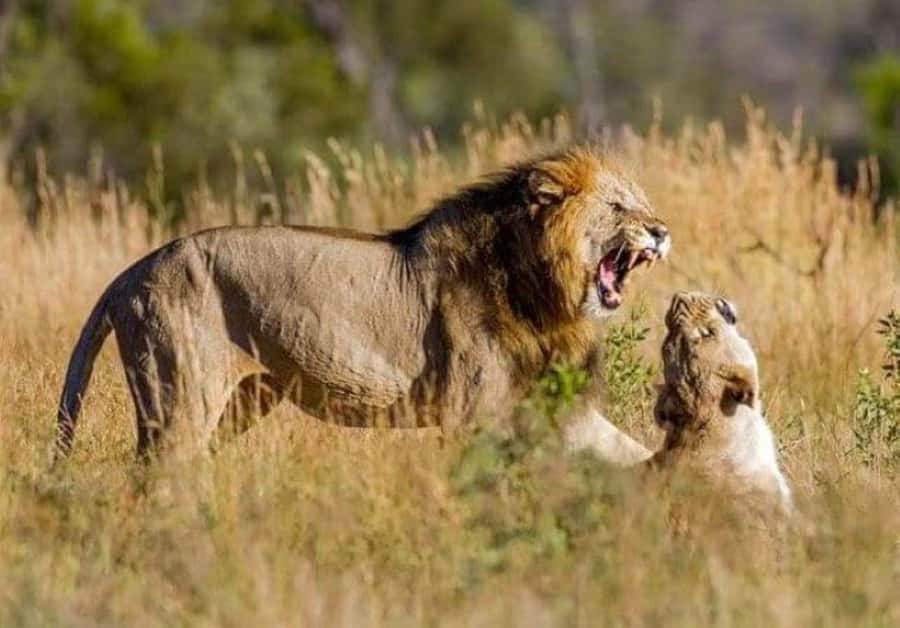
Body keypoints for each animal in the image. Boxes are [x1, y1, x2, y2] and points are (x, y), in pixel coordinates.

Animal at [55, 148, 671, 458]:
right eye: (618, 207)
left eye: (641, 204)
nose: (662, 231)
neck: (543, 291)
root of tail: (130, 274)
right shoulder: (473, 412)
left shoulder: (552, 403)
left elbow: (626, 450)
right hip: (180, 395)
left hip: (244, 398)